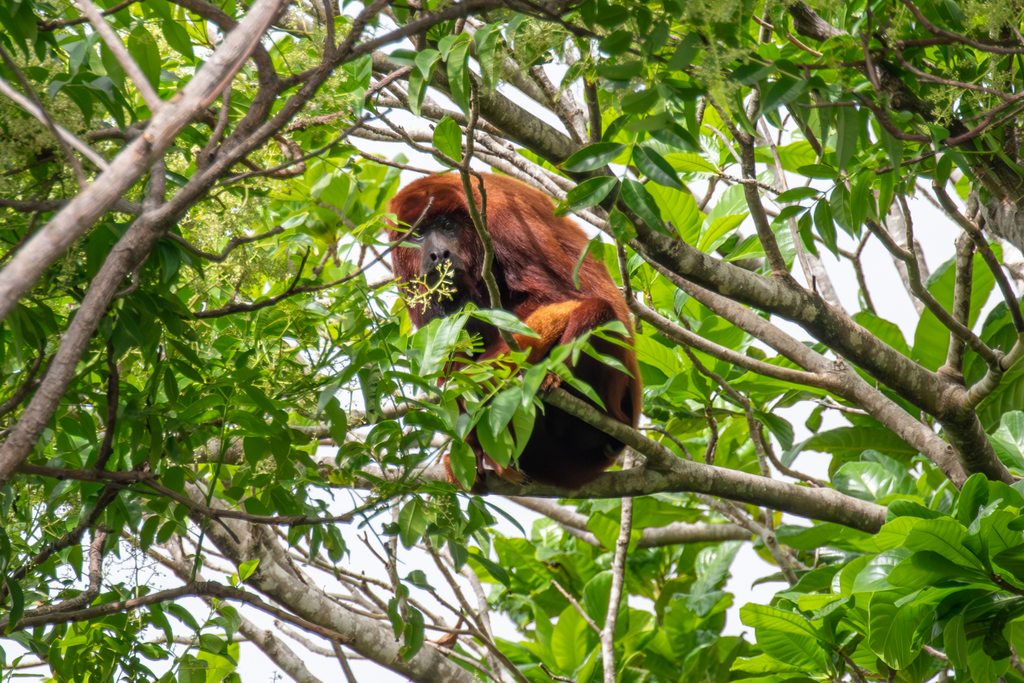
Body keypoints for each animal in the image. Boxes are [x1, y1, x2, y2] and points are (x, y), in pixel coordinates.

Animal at [385, 174, 638, 489]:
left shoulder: (504, 221)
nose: (438, 254)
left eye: (447, 226)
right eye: (418, 234)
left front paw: (472, 381)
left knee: (597, 310)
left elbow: (555, 296)